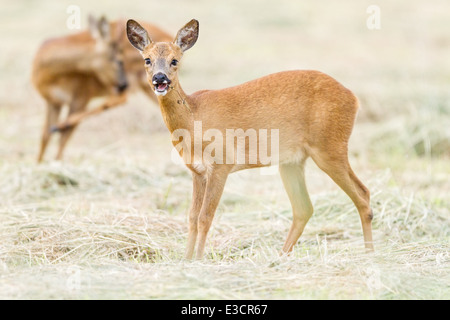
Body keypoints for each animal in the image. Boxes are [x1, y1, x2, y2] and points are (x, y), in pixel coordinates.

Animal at [32, 15, 171, 162]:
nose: (124, 84)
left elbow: (65, 136)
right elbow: (45, 136)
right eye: (118, 60)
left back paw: (59, 126)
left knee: (120, 99)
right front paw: (39, 163)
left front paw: (57, 160)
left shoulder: (81, 97)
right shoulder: (53, 101)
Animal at [125, 18, 372, 260]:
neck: (194, 117)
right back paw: (278, 259)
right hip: (292, 161)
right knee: (304, 208)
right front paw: (186, 260)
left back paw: (369, 254)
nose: (160, 79)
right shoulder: (197, 171)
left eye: (174, 60)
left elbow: (205, 217)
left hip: (329, 146)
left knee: (362, 194)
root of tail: (353, 98)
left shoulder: (221, 164)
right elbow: (192, 217)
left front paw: (199, 260)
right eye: (147, 59)